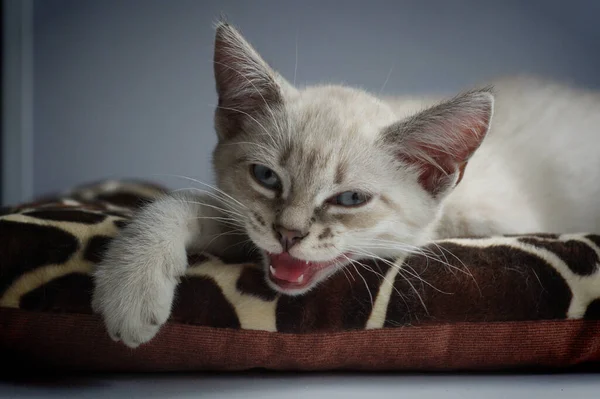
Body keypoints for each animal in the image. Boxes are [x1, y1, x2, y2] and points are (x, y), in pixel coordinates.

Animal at [90, 21, 600, 348]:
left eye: (350, 199)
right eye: (266, 177)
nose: (289, 235)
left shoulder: (493, 223)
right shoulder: (243, 222)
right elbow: (185, 201)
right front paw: (129, 289)